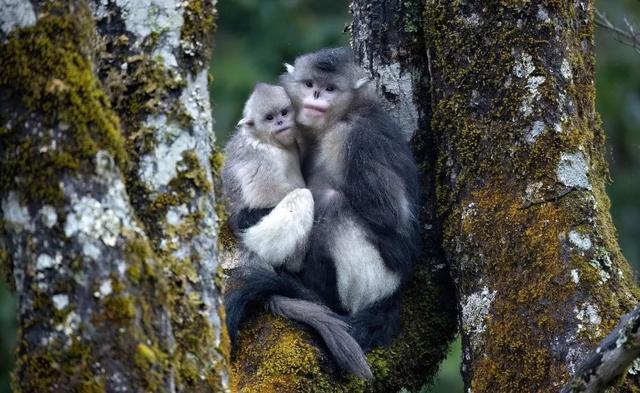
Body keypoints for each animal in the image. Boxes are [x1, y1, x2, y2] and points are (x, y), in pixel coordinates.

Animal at [221, 83, 376, 380]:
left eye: (284, 113)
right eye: (270, 118)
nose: (281, 123)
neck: (272, 143)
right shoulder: (263, 160)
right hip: (258, 242)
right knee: (303, 197)